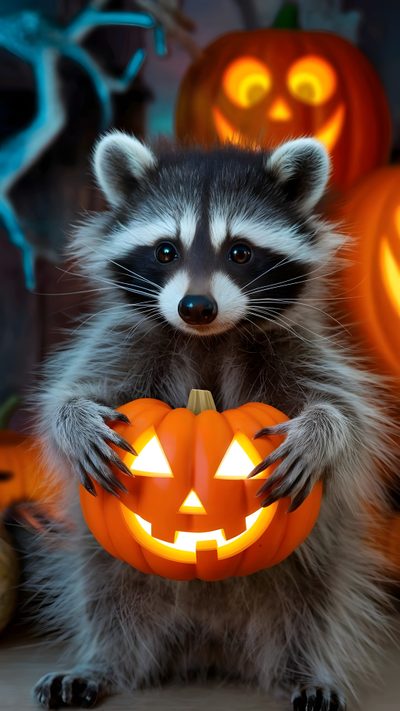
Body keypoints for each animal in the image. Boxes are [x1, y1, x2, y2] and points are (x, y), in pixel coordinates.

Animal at [29, 133, 395, 710]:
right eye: (166, 250)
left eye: (239, 251)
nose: (196, 306)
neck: (209, 338)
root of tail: (210, 642)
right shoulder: (124, 338)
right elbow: (65, 397)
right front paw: (76, 422)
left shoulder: (299, 344)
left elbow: (349, 414)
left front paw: (320, 433)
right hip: (108, 562)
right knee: (107, 593)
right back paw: (104, 660)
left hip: (317, 560)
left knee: (312, 601)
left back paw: (303, 669)